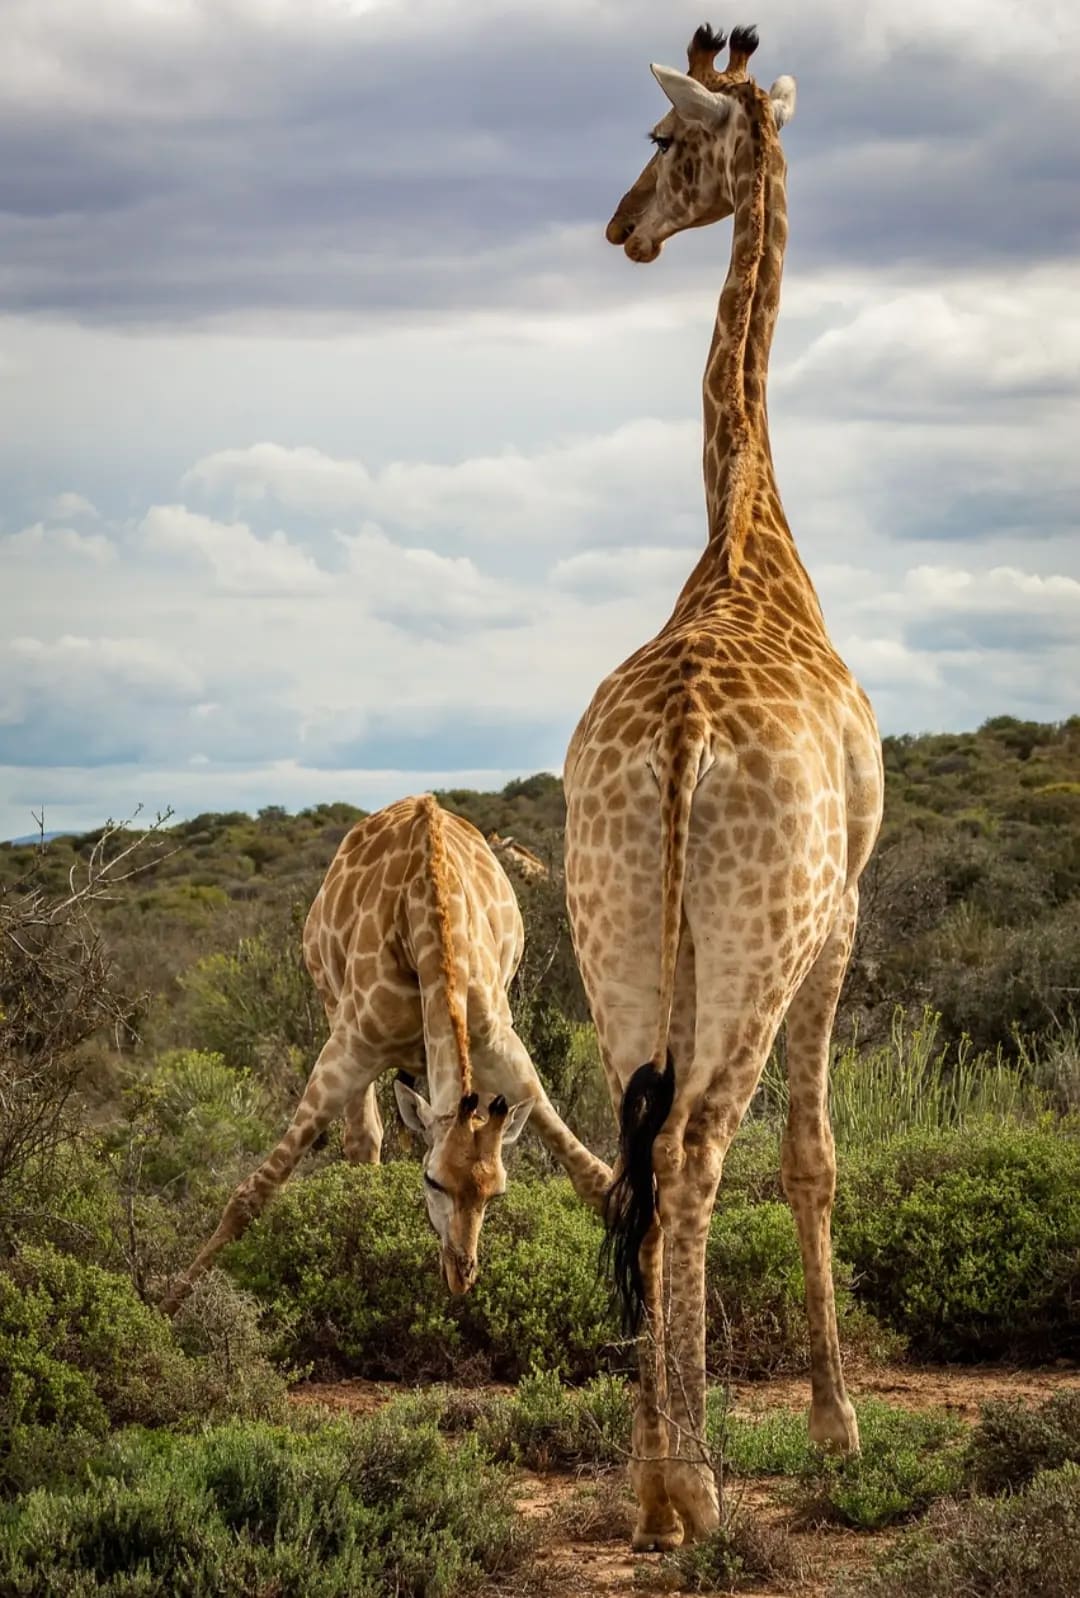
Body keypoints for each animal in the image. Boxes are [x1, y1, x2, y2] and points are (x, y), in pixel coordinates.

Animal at [162, 795, 610, 1313]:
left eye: (495, 1193)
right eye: (432, 1180)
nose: (461, 1276)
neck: (428, 918)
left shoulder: (500, 1045)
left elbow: (596, 1178)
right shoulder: (351, 1047)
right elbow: (254, 1191)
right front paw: (167, 1307)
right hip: (333, 1008)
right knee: (363, 1140)